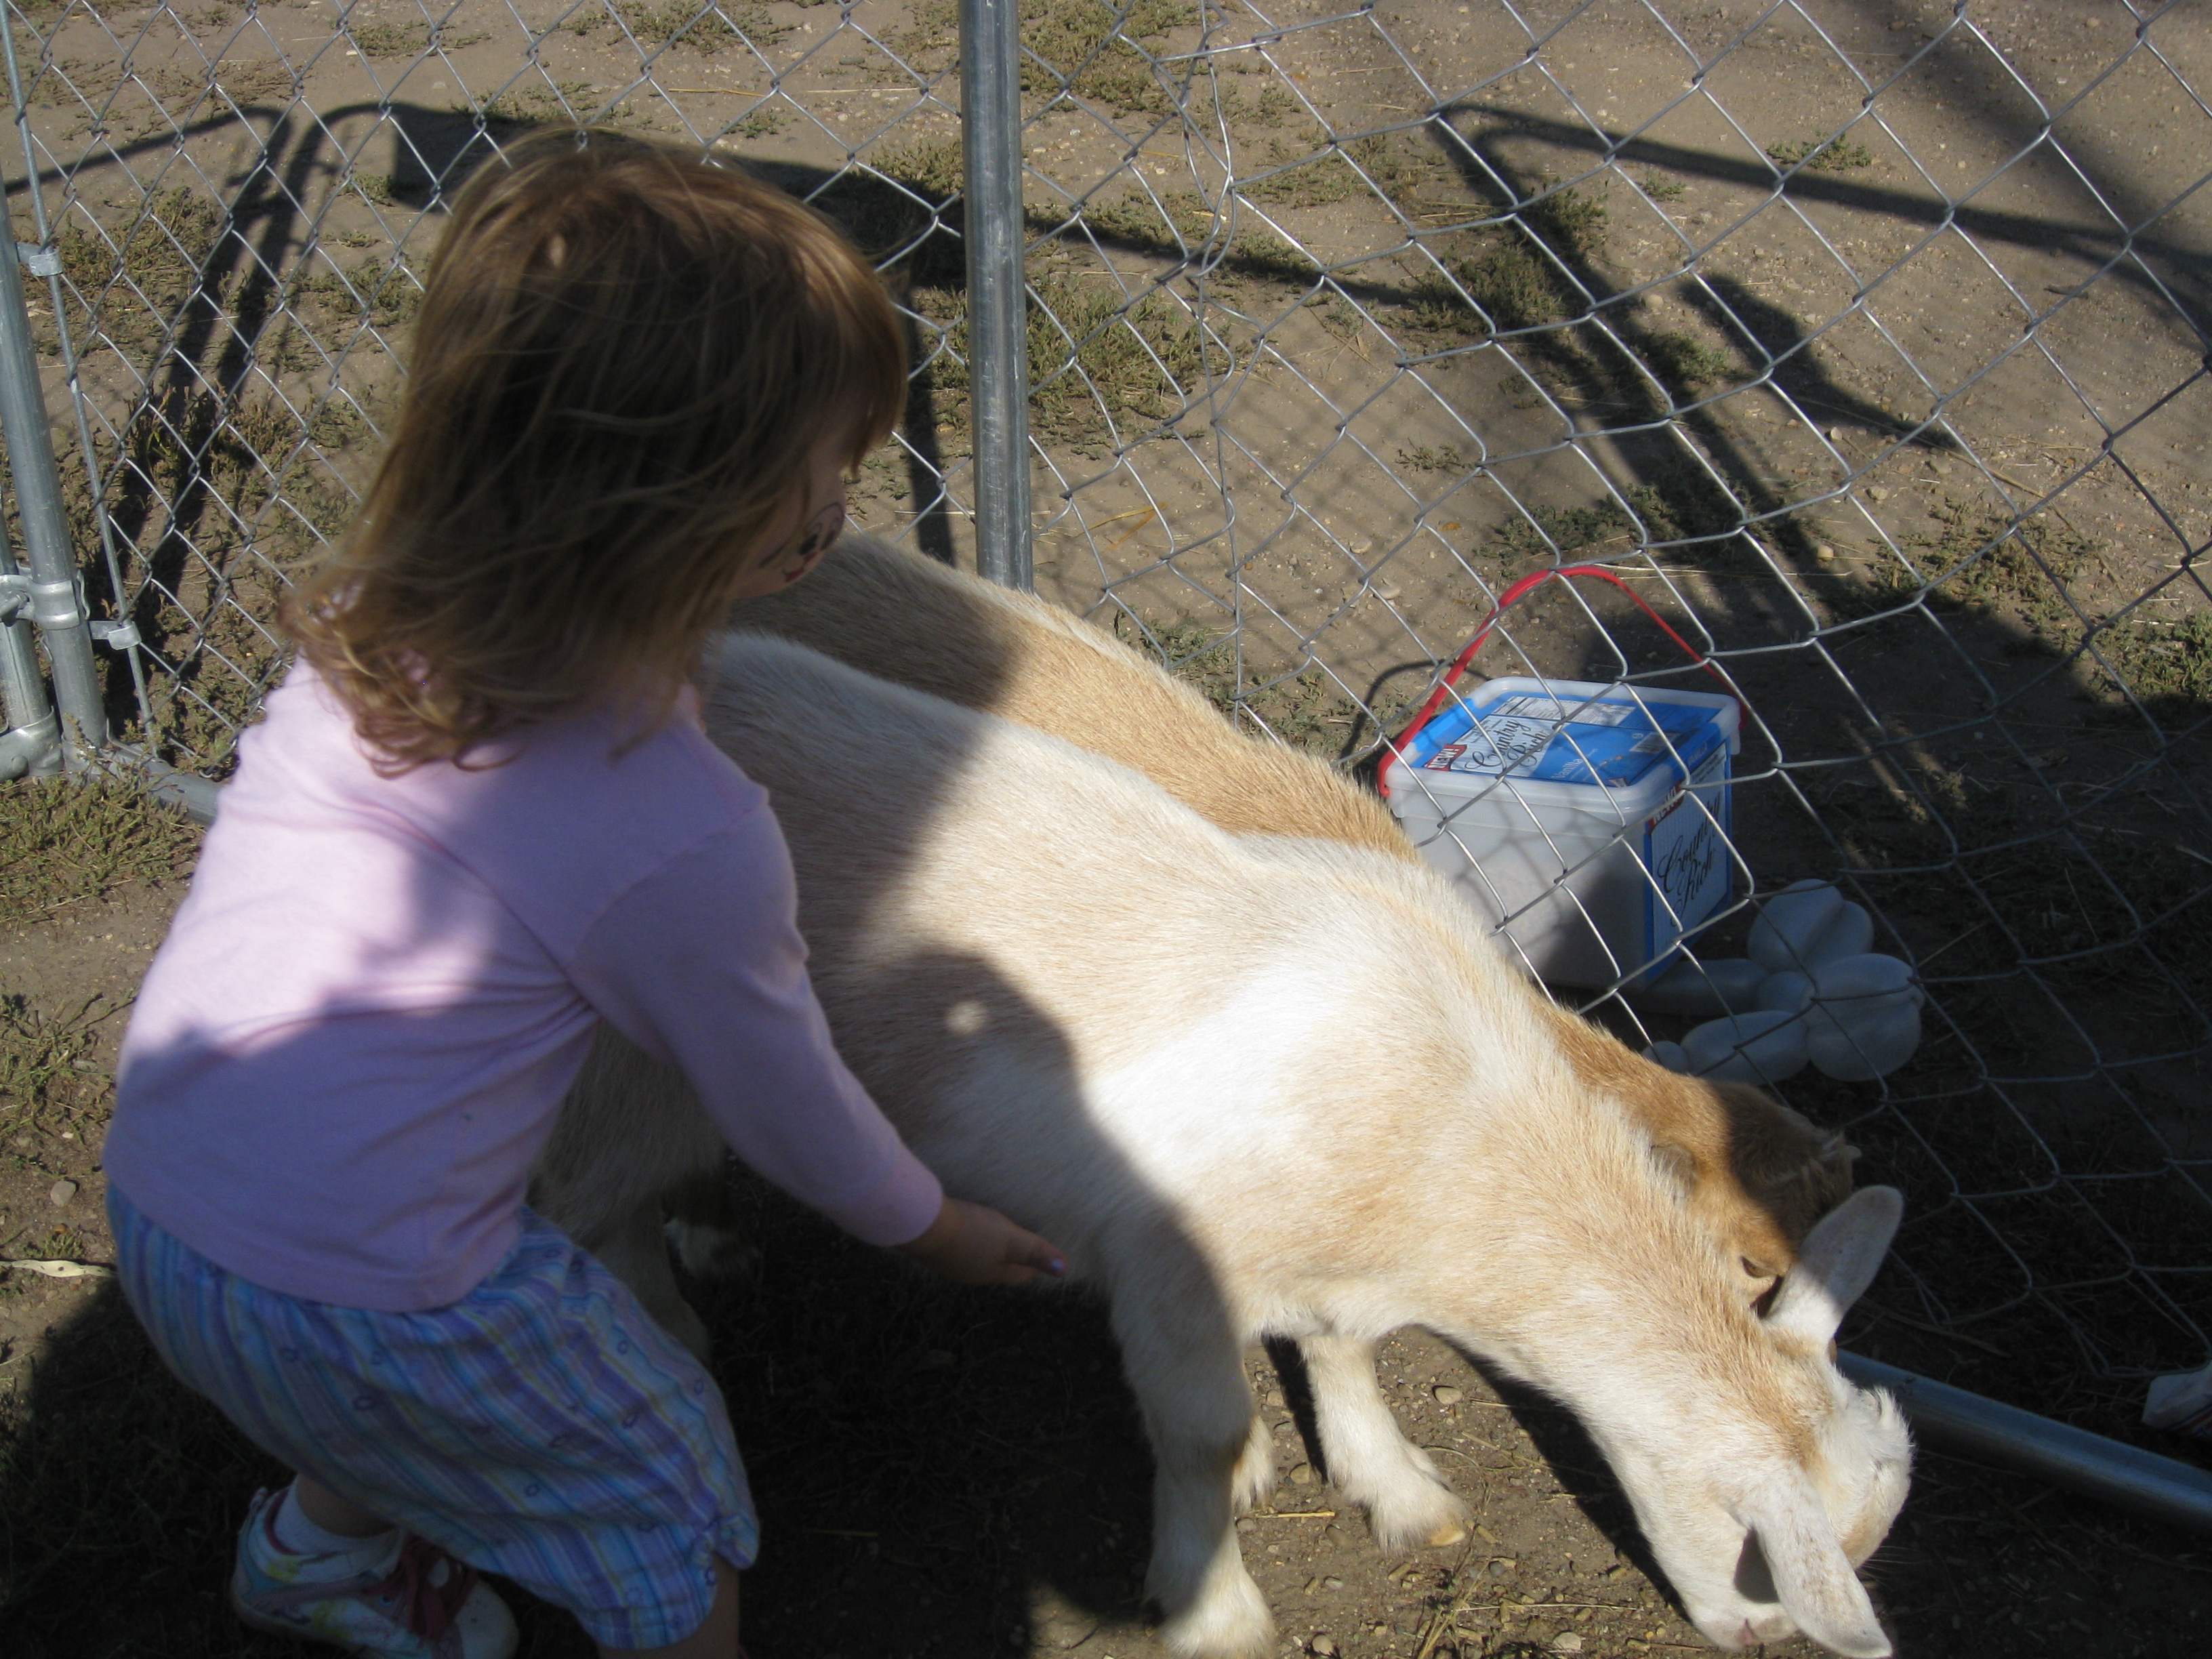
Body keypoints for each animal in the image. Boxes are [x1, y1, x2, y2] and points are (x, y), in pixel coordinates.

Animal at [533, 632, 1910, 1659]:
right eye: (1765, 1557)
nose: (1750, 1635)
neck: (1455, 1132)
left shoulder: (1343, 1259)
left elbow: (1348, 1352)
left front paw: (1396, 1489)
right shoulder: (1169, 1265)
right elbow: (1198, 1436)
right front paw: (1217, 1608)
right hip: (628, 1064)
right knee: (588, 1206)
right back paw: (667, 1339)